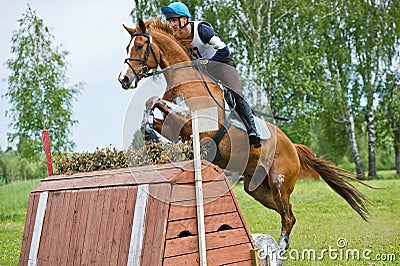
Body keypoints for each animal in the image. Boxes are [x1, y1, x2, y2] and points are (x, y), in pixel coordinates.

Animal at [116, 17, 368, 250]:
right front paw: (149, 136)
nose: (124, 79)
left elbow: (156, 101)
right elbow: (152, 105)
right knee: (289, 214)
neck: (186, 80)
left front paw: (151, 136)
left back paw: (280, 247)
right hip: (257, 188)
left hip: (278, 181)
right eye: (128, 47)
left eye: (140, 46)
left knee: (287, 216)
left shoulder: (195, 123)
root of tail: (293, 147)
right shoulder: (176, 128)